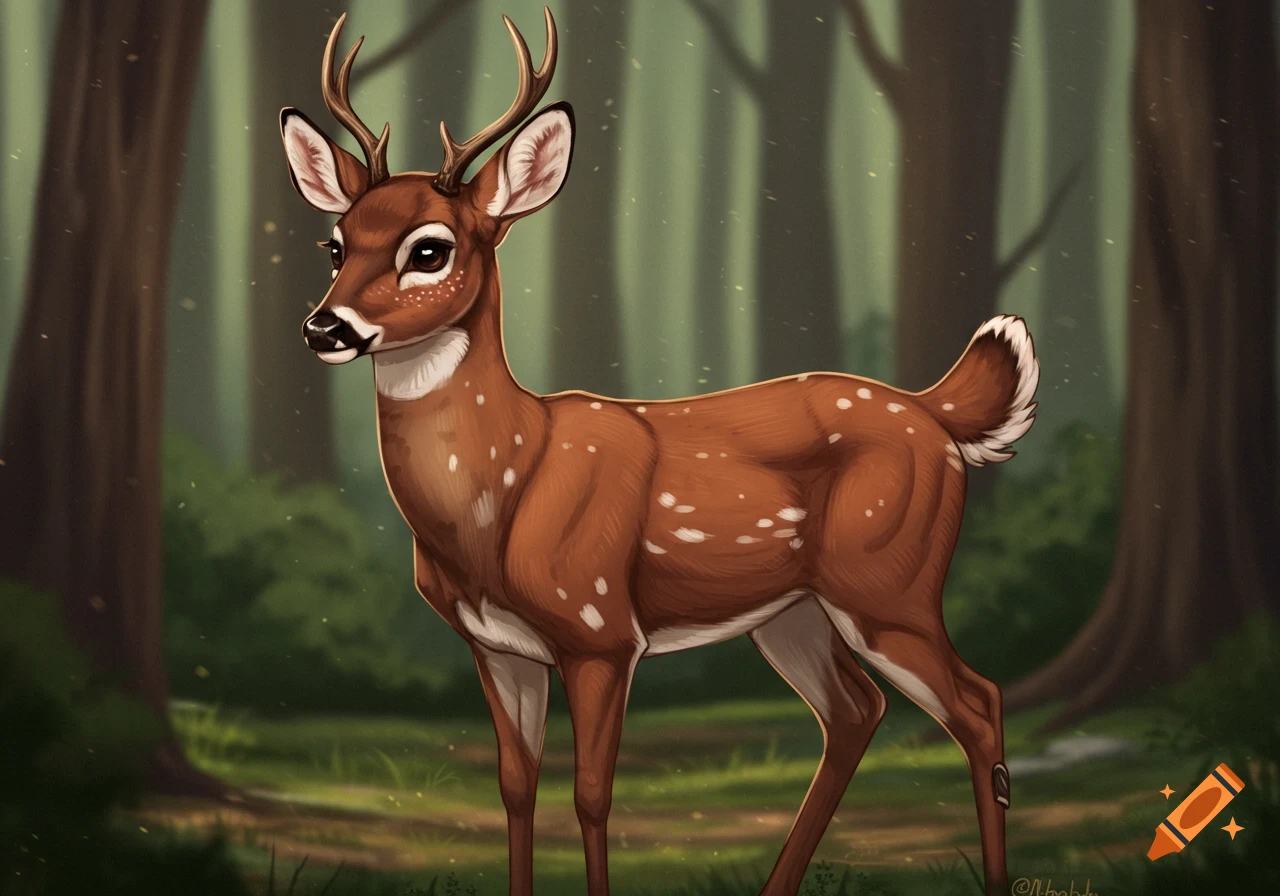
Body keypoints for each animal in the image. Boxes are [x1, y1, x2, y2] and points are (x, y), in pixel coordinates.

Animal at [279, 9, 1036, 896]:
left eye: (428, 249)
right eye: (336, 246)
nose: (324, 327)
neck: (502, 490)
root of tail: (932, 411)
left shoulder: (602, 628)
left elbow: (593, 794)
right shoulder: (495, 644)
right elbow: (515, 787)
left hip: (890, 581)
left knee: (979, 702)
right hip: (794, 611)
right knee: (856, 712)